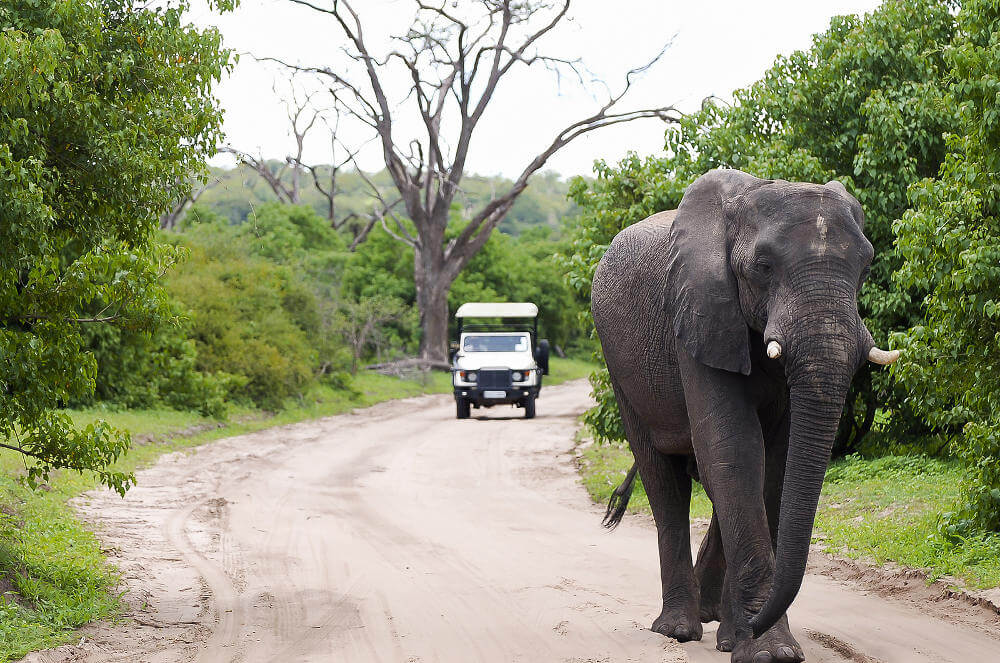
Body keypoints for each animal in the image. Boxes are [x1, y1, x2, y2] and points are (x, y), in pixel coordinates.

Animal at [592, 170, 900, 663]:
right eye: (763, 267)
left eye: (867, 268)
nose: (755, 623)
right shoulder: (698, 312)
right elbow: (734, 452)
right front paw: (766, 650)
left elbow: (774, 465)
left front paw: (749, 641)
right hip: (618, 365)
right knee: (665, 481)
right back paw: (679, 629)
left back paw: (715, 621)